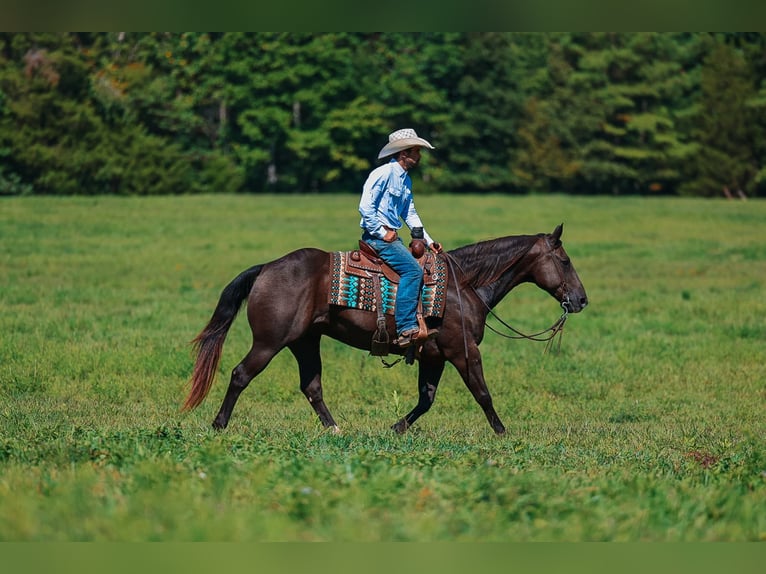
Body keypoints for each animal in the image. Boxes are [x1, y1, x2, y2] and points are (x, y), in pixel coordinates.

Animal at [182, 223, 588, 435]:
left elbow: (426, 399)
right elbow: (483, 394)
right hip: (270, 342)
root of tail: (267, 267)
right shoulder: (463, 351)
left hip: (305, 341)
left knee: (311, 387)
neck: (465, 285)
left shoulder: (434, 356)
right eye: (565, 260)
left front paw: (396, 429)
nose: (581, 300)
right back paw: (219, 425)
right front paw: (502, 434)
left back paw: (335, 429)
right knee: (240, 374)